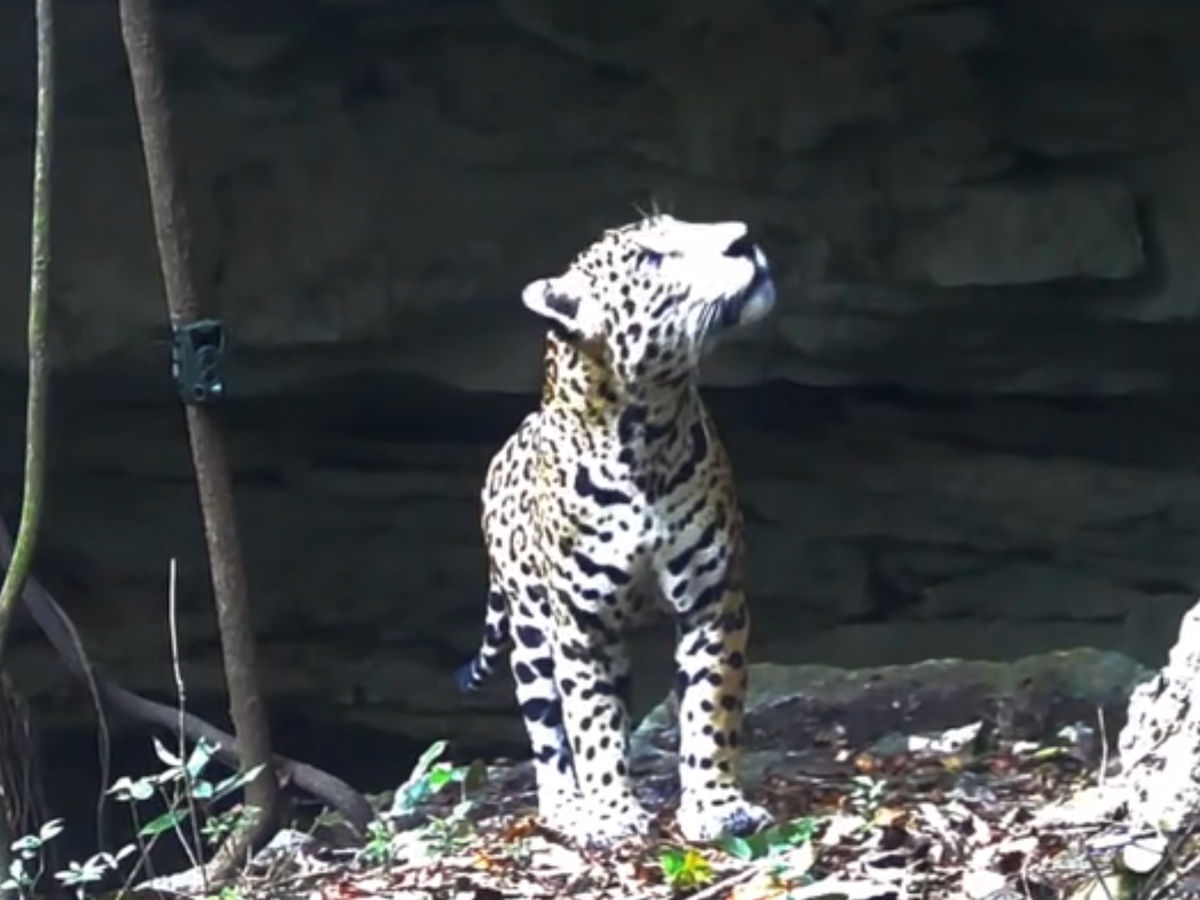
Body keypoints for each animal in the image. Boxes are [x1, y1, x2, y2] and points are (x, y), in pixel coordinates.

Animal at [455, 213, 777, 847]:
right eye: (651, 258)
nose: (743, 237)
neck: (648, 432)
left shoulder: (714, 600)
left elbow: (711, 706)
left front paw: (716, 805)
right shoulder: (582, 629)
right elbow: (590, 726)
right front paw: (609, 814)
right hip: (530, 637)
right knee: (549, 734)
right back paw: (566, 807)